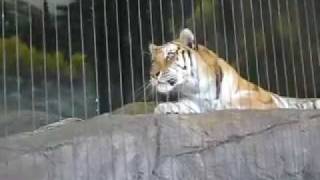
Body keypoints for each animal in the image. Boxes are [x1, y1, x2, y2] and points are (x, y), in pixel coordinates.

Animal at [149, 28, 320, 114]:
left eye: (170, 56)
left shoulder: (262, 96)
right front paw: (165, 108)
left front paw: (220, 105)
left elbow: (239, 101)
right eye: (153, 61)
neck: (196, 88)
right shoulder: (192, 101)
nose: (152, 75)